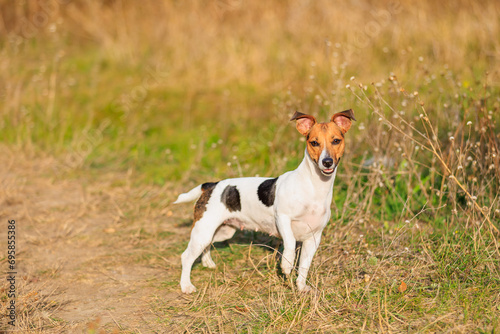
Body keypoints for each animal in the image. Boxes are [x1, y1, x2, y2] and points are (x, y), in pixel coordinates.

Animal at [175, 109, 356, 292]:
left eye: (336, 141)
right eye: (314, 143)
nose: (327, 162)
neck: (314, 187)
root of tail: (211, 185)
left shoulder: (313, 238)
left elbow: (304, 266)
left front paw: (301, 287)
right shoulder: (282, 218)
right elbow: (290, 243)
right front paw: (286, 265)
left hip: (221, 231)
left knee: (207, 245)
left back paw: (207, 262)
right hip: (203, 230)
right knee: (186, 256)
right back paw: (186, 285)